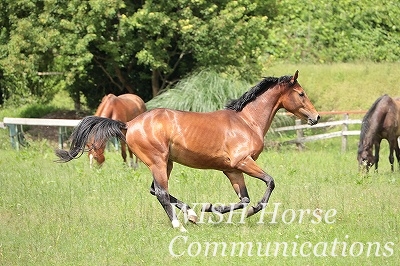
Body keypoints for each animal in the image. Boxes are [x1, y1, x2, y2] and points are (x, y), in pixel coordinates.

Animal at [56, 71, 320, 232]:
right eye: (301, 94)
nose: (316, 117)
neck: (246, 121)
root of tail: (129, 124)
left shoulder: (232, 170)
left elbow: (243, 199)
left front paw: (212, 208)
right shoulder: (243, 162)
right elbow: (269, 183)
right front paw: (254, 210)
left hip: (166, 163)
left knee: (155, 190)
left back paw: (192, 214)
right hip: (158, 162)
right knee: (161, 192)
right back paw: (179, 225)